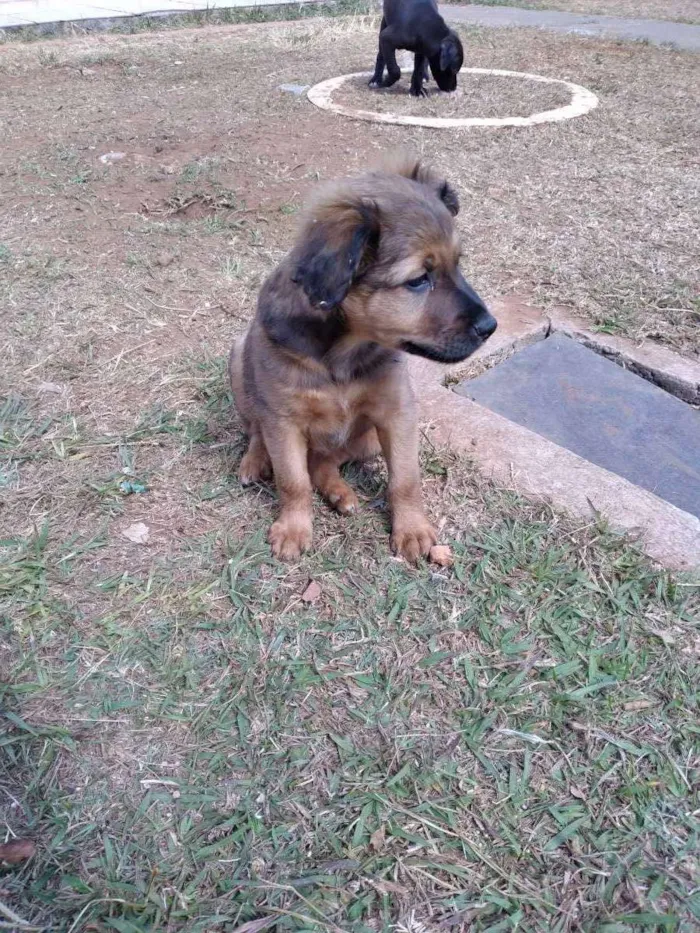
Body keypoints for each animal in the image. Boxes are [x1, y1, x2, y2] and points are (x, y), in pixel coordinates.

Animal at [227, 159, 494, 560]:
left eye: (458, 265)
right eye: (419, 279)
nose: (490, 327)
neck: (342, 352)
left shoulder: (396, 412)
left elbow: (406, 478)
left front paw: (412, 529)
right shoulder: (283, 420)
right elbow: (292, 480)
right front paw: (293, 528)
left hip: (366, 440)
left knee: (323, 462)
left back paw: (340, 493)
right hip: (239, 360)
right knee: (258, 432)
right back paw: (255, 461)